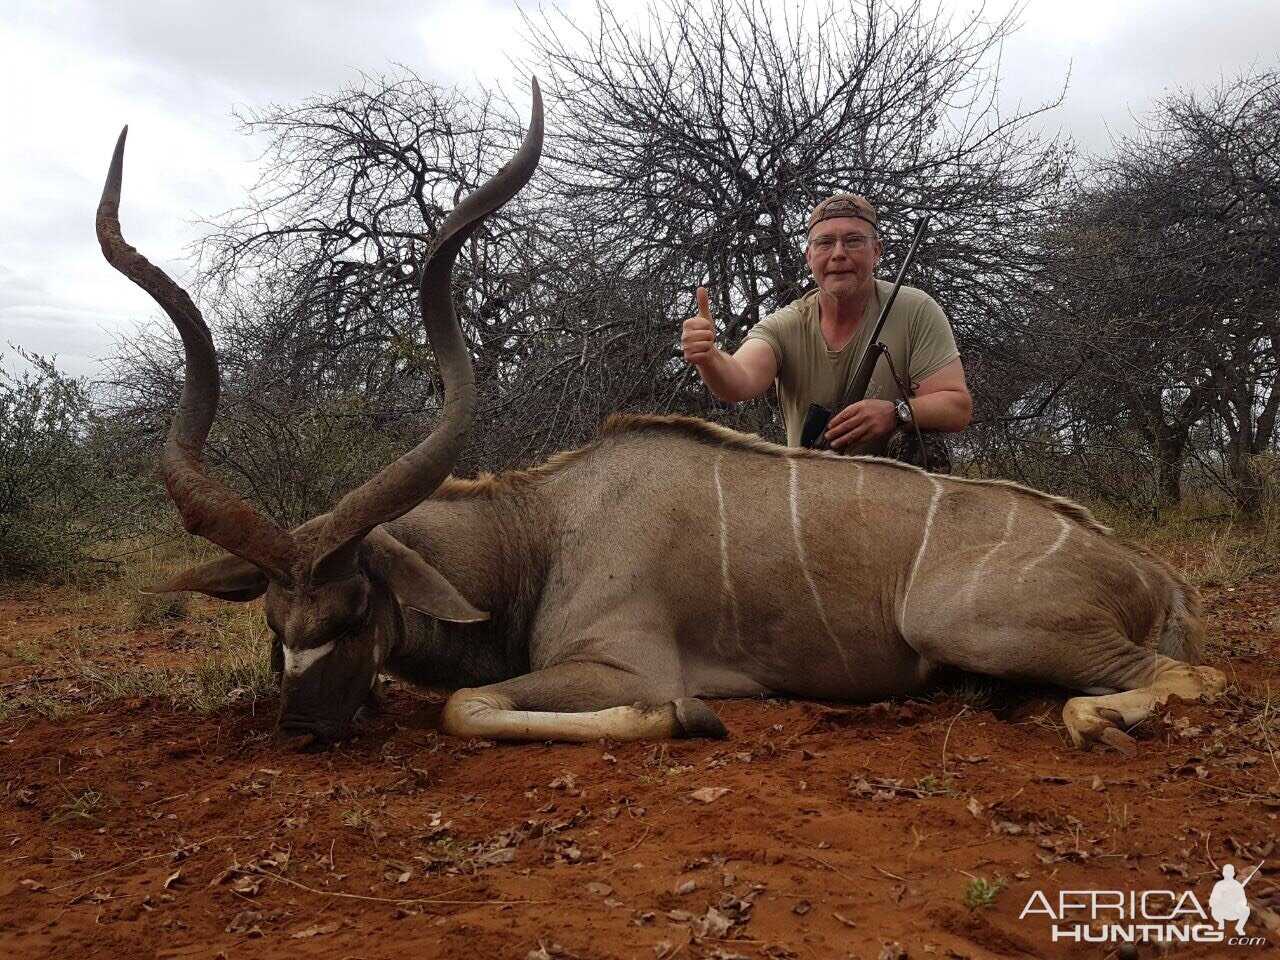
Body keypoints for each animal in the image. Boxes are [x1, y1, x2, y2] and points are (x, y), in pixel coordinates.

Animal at [97, 82, 1218, 757]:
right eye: (274, 623)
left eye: (355, 607)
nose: (304, 729)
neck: (540, 530)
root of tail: (1146, 570)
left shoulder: (615, 659)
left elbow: (473, 704)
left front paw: (690, 715)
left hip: (972, 621)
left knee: (1184, 675)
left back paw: (1090, 721)